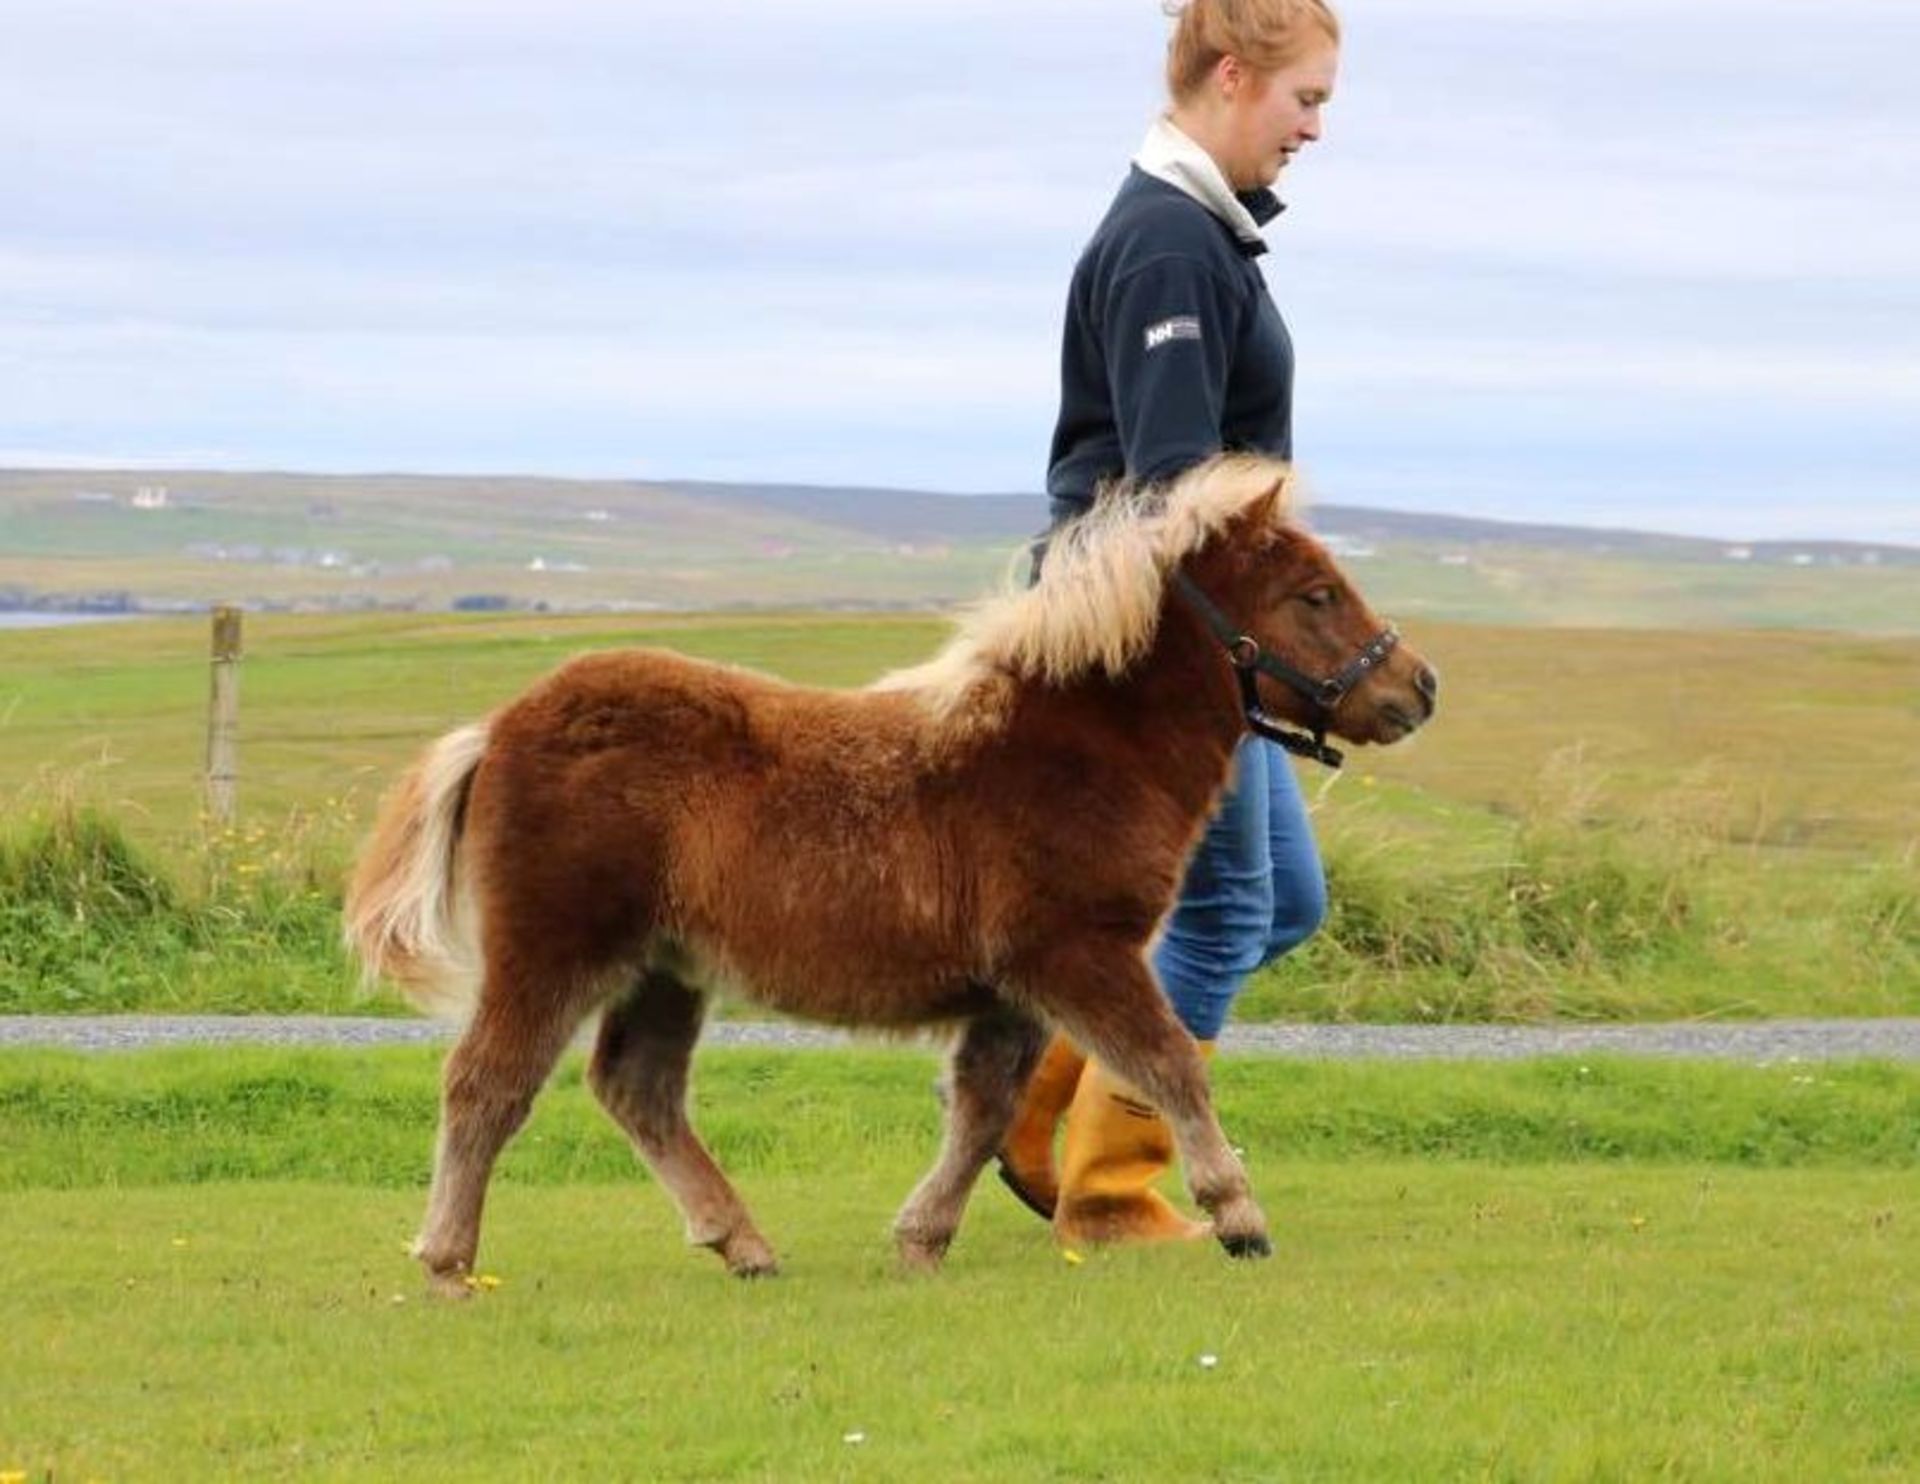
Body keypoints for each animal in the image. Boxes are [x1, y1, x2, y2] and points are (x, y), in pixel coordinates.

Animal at [345, 449, 1436, 1282]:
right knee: (488, 1081)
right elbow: (1169, 1062)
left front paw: (921, 1238)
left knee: (637, 1087)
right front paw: (1238, 1213)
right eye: (1316, 593)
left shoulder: (1014, 986)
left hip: (666, 965)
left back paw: (743, 1243)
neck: (1074, 749)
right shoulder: (1078, 955)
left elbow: (986, 1109)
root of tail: (498, 728)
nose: (1416, 686)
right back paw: (447, 1260)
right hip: (553, 946)